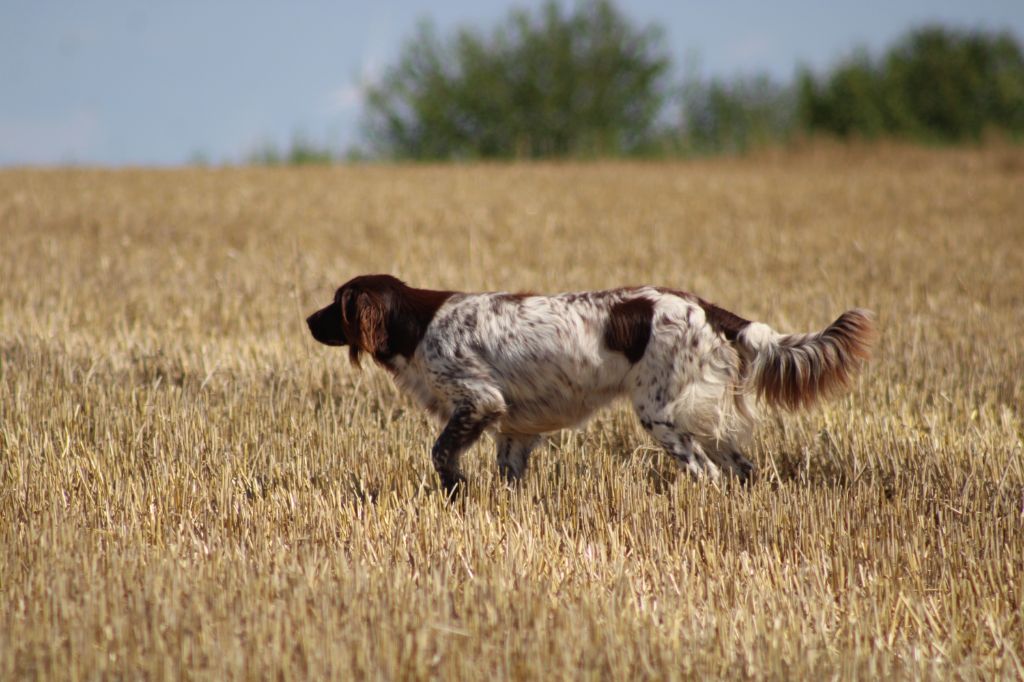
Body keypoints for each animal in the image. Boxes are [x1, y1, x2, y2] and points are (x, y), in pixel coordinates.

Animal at [303, 272, 872, 493]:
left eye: (335, 303)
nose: (307, 319)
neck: (418, 325)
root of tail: (700, 306)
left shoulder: (480, 400)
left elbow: (441, 452)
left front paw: (455, 490)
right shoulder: (515, 428)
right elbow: (509, 476)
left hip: (662, 414)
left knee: (705, 471)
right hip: (700, 413)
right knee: (741, 466)